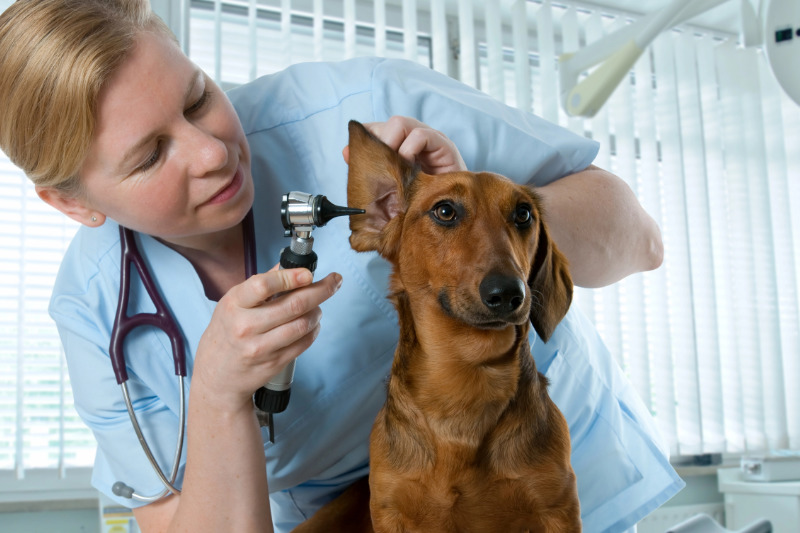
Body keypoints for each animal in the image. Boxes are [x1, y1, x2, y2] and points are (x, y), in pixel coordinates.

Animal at [290, 121, 580, 532]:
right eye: (445, 211)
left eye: (523, 214)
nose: (509, 293)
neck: (465, 380)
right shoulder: (390, 509)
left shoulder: (557, 507)